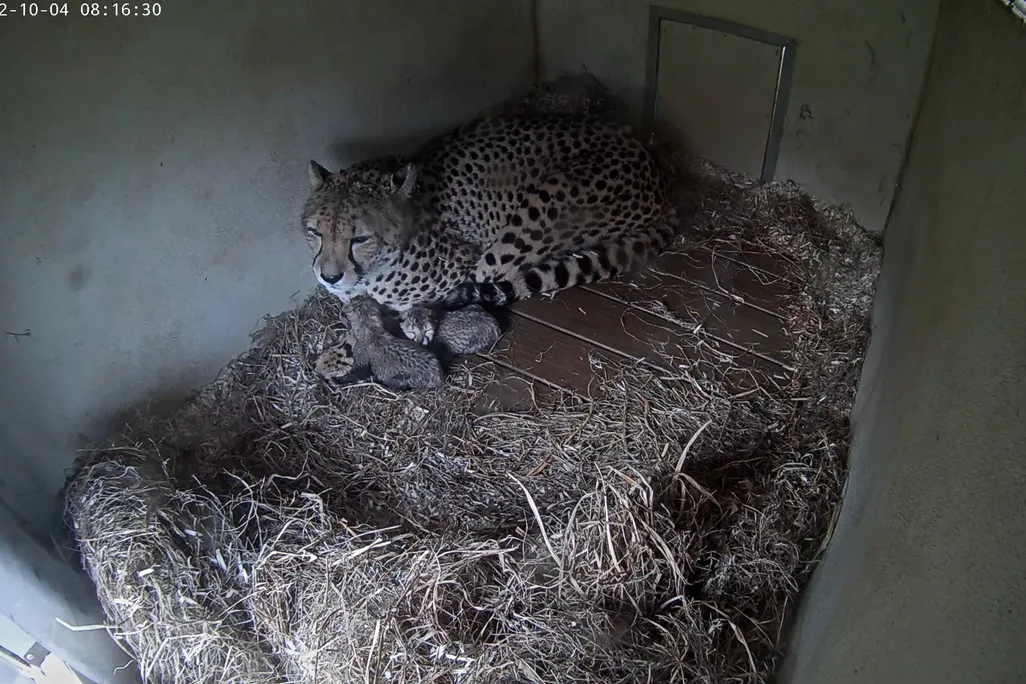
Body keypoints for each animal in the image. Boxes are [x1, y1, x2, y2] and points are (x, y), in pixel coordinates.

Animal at [301, 86, 679, 383]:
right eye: (314, 232)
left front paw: (354, 346)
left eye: (360, 239)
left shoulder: (460, 267)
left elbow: (384, 318)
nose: (329, 277)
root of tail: (655, 166)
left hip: (540, 210)